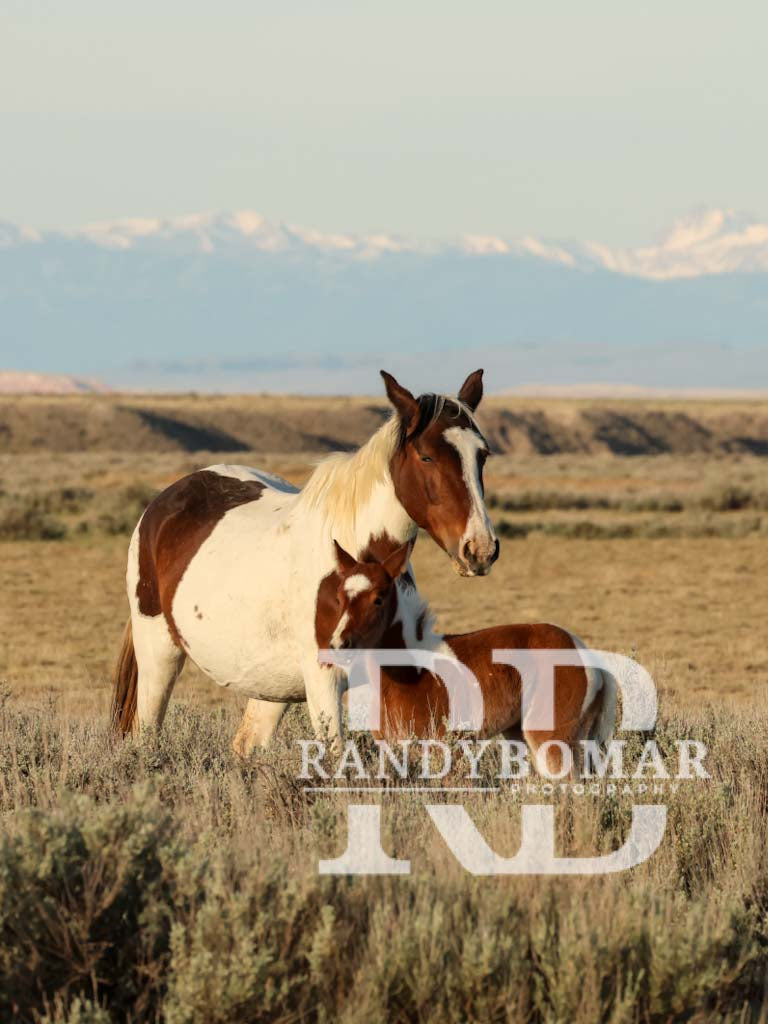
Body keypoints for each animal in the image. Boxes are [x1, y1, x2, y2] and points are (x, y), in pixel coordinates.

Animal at [112, 369, 500, 752]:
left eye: (482, 455)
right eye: (426, 456)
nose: (480, 548)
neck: (355, 556)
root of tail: (161, 503)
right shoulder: (323, 677)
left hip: (270, 686)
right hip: (158, 656)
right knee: (147, 732)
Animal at [320, 540, 617, 775]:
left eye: (378, 599)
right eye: (339, 598)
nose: (339, 644)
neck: (410, 673)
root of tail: (588, 657)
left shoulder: (445, 750)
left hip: (550, 738)